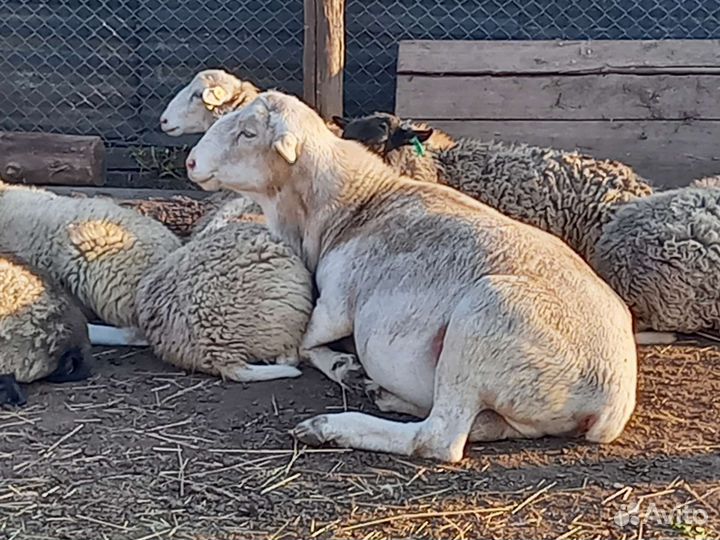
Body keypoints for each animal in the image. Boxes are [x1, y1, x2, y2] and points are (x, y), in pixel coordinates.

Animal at [185, 90, 637, 462]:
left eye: (248, 132)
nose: (190, 162)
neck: (355, 203)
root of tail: (611, 399)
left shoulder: (335, 302)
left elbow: (304, 344)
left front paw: (342, 365)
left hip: (482, 322)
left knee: (439, 439)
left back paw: (331, 426)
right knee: (479, 424)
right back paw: (387, 396)